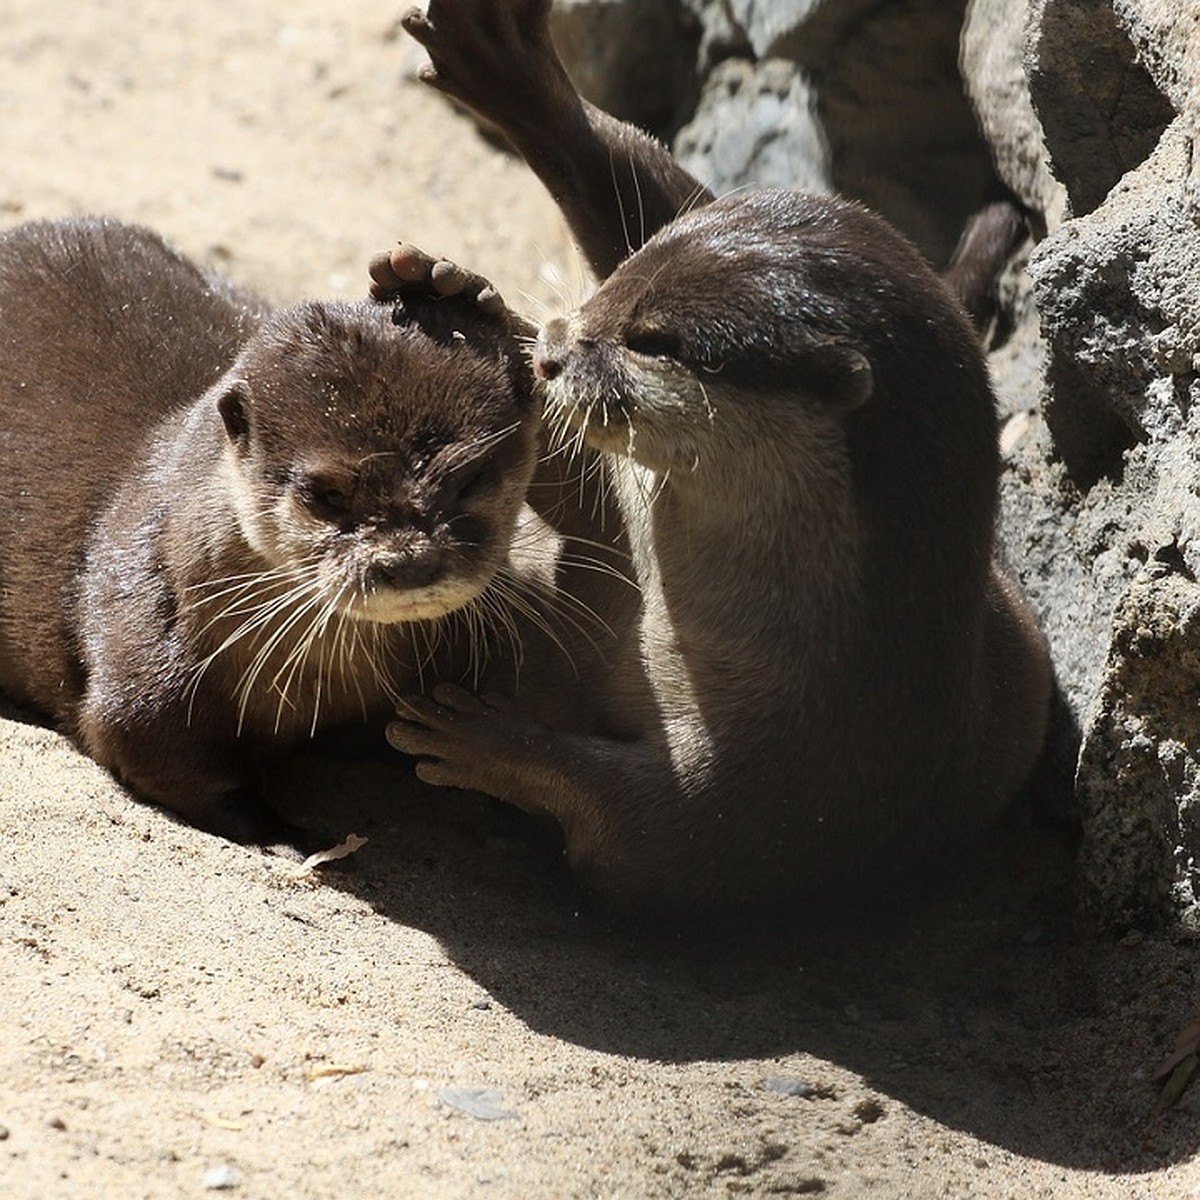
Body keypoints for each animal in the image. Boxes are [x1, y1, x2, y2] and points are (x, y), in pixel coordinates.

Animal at [0, 216, 540, 844]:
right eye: (329, 496)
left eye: (470, 478)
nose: (409, 561)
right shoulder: (149, 656)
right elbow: (154, 748)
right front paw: (291, 837)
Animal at [384, 0, 1051, 907]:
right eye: (618, 286)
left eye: (652, 342)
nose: (556, 351)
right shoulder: (631, 524)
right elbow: (579, 499)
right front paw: (462, 297)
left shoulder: (784, 787)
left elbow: (631, 826)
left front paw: (482, 738)